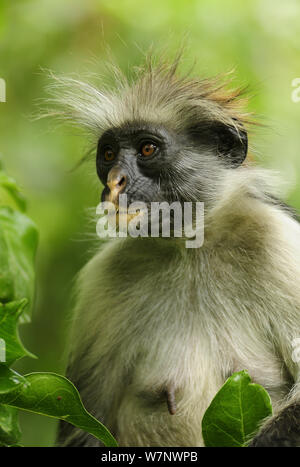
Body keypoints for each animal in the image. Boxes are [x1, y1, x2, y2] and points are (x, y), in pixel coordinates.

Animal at [51, 56, 300, 448]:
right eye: (108, 154)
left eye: (147, 149)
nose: (115, 181)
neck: (191, 248)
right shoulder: (102, 280)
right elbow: (84, 426)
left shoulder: (280, 243)